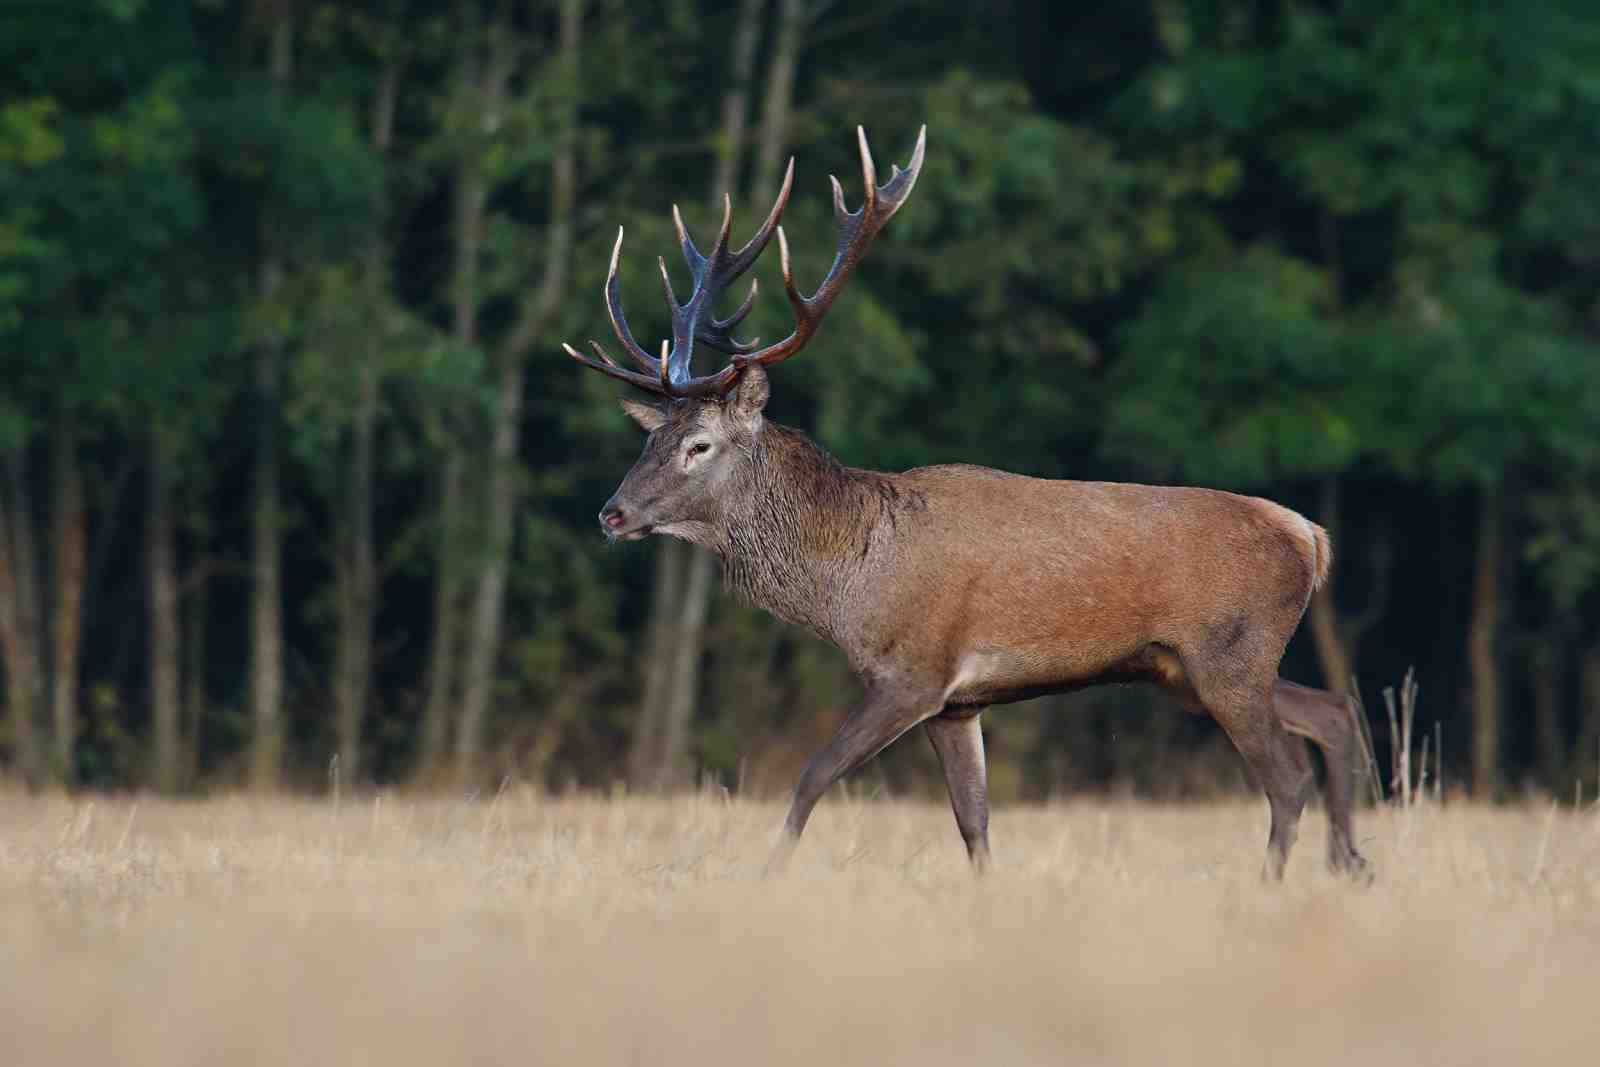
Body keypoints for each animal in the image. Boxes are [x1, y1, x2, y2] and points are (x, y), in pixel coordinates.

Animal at [564, 126, 1369, 880]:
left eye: (699, 444)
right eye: (651, 437)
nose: (611, 513)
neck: (849, 580)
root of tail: (1311, 536)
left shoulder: (914, 672)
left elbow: (810, 778)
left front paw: (766, 878)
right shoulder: (959, 703)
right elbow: (973, 821)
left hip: (1229, 653)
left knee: (1287, 778)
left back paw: (1279, 883)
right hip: (1190, 670)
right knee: (1334, 712)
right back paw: (1352, 862)